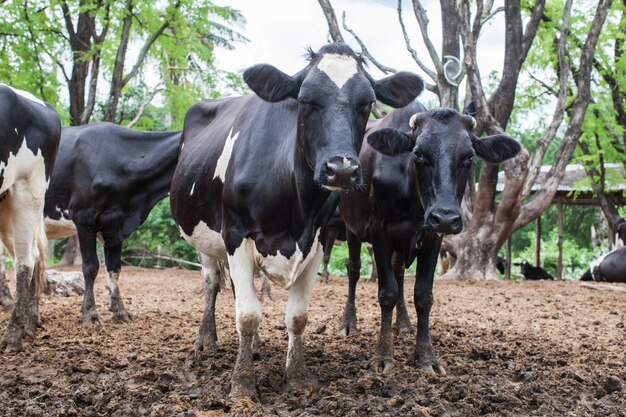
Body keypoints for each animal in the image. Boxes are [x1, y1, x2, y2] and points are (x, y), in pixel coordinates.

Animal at [43, 122, 180, 324]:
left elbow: (114, 269)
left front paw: (120, 312)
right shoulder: (83, 217)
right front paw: (90, 314)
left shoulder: (115, 226)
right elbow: (91, 267)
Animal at [169, 44, 424, 398]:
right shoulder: (236, 235)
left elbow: (297, 316)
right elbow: (247, 315)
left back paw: (255, 345)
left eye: (366, 104)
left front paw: (297, 376)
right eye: (306, 101)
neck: (294, 206)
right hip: (203, 236)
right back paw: (207, 340)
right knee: (212, 282)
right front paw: (242, 383)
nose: (341, 169)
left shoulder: (315, 242)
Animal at [338, 100, 520, 370]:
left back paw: (403, 324)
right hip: (351, 226)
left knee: (399, 274)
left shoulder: (434, 237)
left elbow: (423, 295)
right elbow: (387, 293)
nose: (445, 217)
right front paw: (383, 355)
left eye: (469, 157)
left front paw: (425, 356)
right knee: (353, 269)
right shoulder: (379, 230)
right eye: (418, 154)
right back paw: (349, 322)